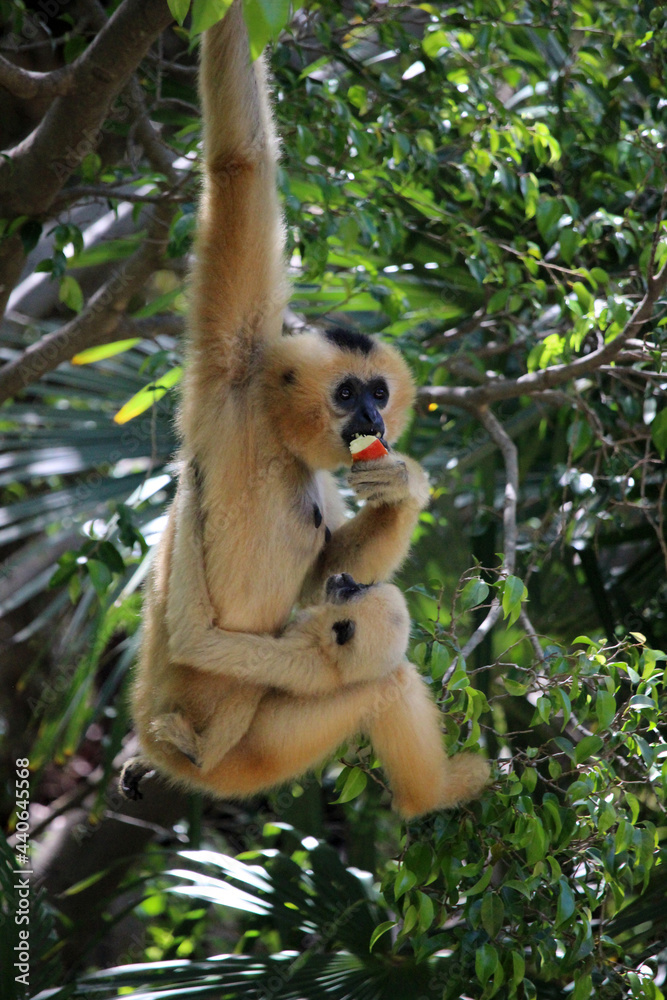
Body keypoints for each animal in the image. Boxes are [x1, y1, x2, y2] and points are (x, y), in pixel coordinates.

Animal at [119, 0, 490, 820]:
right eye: (346, 393)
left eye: (379, 393)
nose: (374, 421)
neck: (269, 430)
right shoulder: (230, 367)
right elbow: (240, 163)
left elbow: (330, 566)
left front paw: (401, 488)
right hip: (250, 743)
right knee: (376, 680)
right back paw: (436, 792)